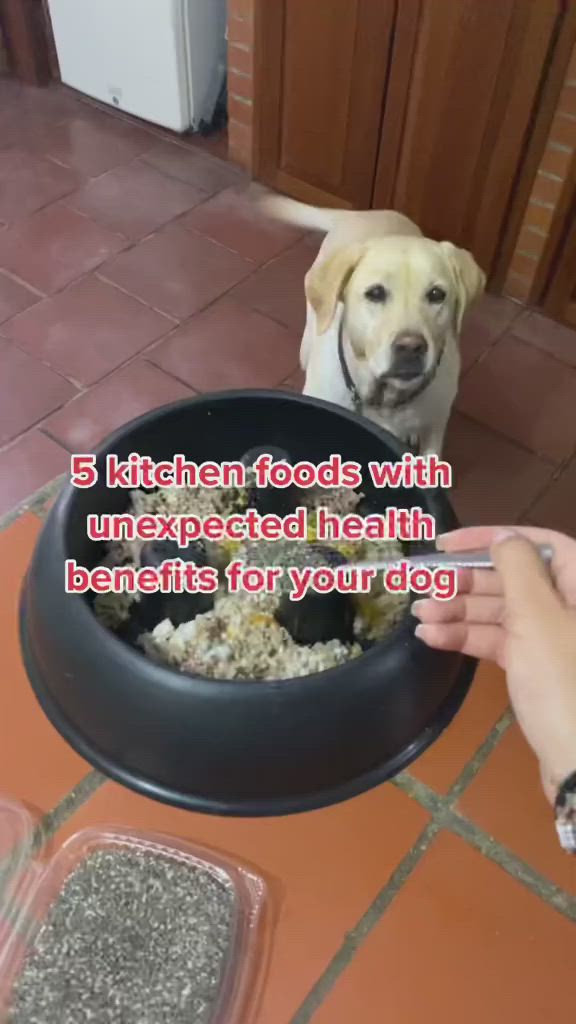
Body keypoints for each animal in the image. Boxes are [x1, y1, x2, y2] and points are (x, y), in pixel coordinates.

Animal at [262, 195, 481, 456]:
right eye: (375, 293)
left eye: (437, 294)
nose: (411, 347)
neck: (384, 400)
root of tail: (361, 213)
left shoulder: (436, 427)